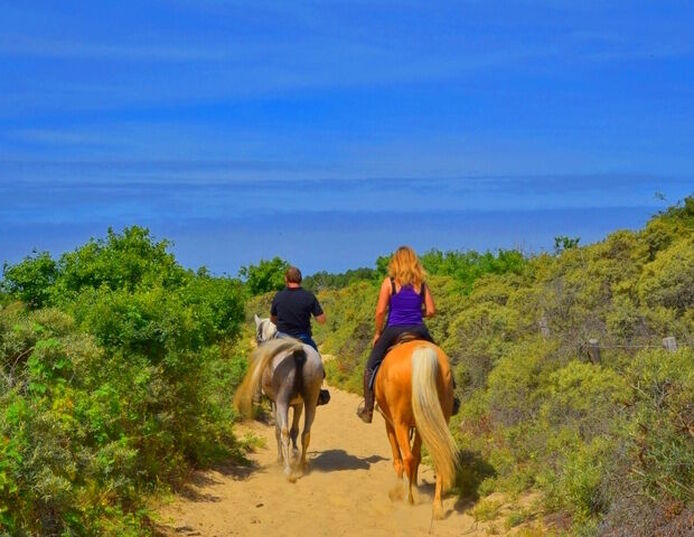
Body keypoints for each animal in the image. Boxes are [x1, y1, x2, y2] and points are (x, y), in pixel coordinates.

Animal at [231, 316, 324, 480]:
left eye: (258, 337)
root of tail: (298, 350)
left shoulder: (275, 403)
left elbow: (278, 430)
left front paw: (281, 458)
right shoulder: (299, 404)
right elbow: (295, 430)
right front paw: (294, 453)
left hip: (282, 402)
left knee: (284, 432)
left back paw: (288, 471)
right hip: (311, 400)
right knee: (306, 433)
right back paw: (302, 465)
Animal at [378, 340, 460, 520]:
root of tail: (422, 352)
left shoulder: (389, 423)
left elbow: (398, 458)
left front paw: (399, 490)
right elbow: (417, 456)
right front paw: (415, 484)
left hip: (400, 423)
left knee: (407, 458)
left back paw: (409, 497)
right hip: (436, 418)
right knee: (439, 455)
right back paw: (437, 507)